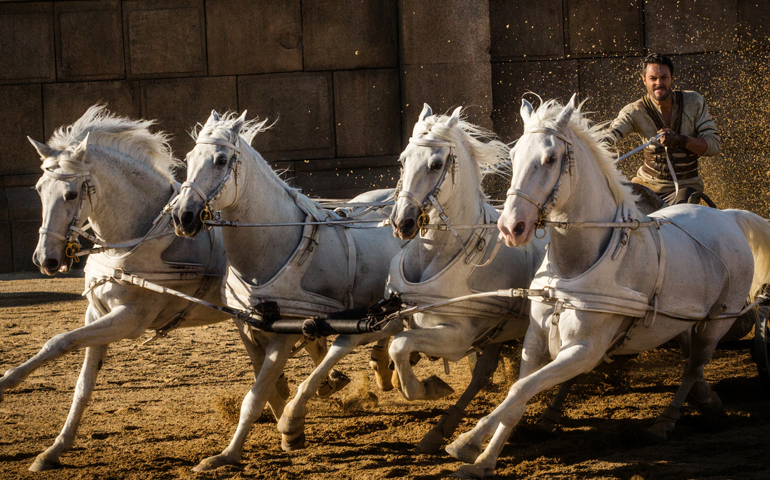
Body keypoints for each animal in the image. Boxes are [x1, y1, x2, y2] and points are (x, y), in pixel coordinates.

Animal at [172, 109, 402, 468]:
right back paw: (376, 368)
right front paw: (236, 449)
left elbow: (254, 398)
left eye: (222, 160)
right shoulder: (246, 327)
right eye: (188, 157)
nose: (183, 216)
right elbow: (266, 390)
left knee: (364, 335)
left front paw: (236, 452)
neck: (274, 242)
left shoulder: (284, 331)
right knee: (376, 331)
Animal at [444, 95, 768, 478]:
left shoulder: (585, 349)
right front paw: (483, 459)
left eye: (550, 158)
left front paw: (466, 441)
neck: (574, 267)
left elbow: (522, 389)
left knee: (693, 367)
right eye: (516, 154)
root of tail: (729, 216)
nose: (511, 226)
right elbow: (517, 395)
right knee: (691, 361)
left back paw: (664, 423)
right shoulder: (535, 341)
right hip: (683, 322)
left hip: (715, 323)